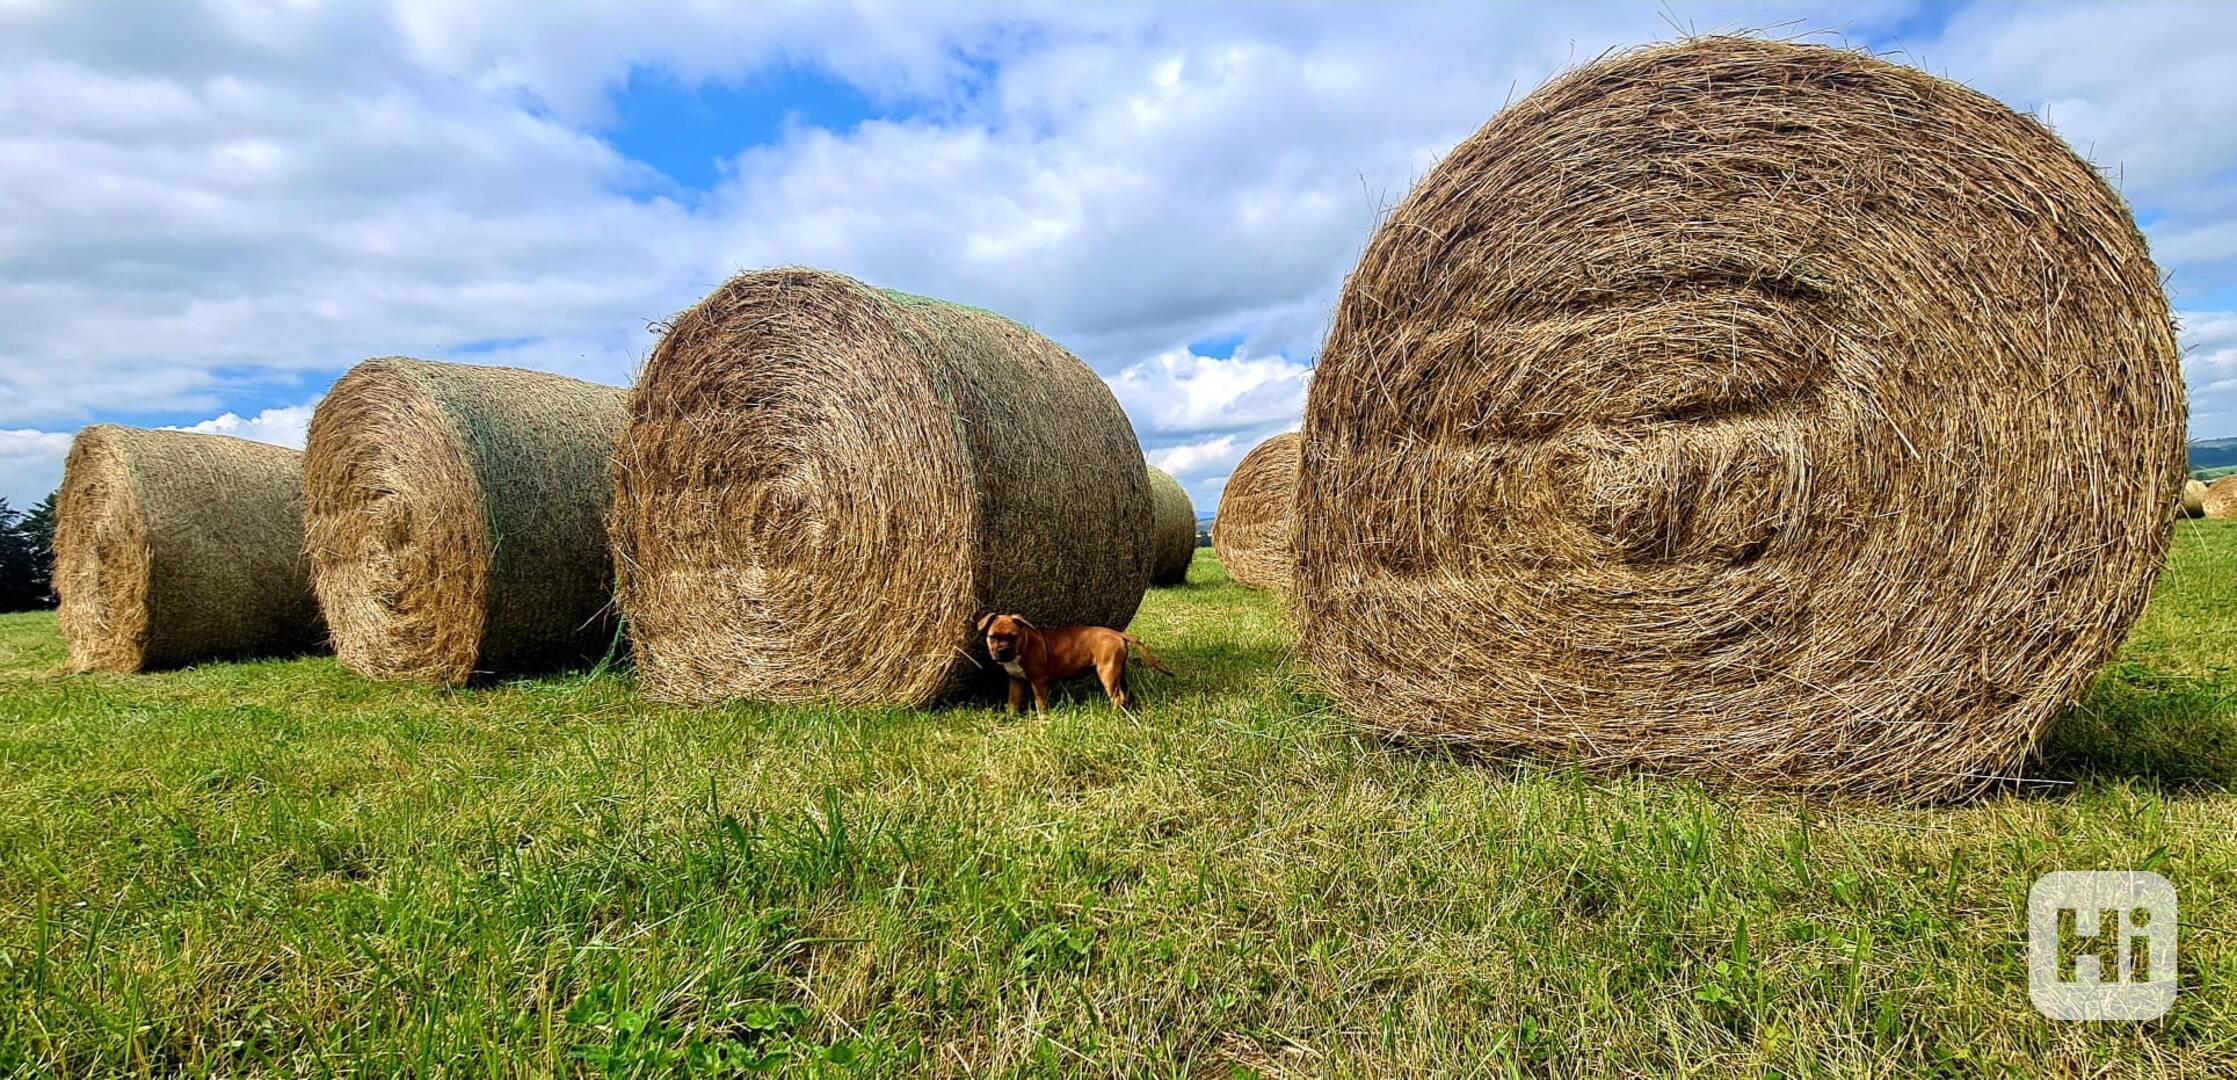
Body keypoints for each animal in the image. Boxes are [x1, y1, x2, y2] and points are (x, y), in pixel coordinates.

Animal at [988, 612, 1181, 715]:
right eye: (992, 637)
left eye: (1013, 637)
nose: (1002, 650)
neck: (1024, 645)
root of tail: (1118, 633)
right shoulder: (1015, 680)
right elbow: (1013, 701)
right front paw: (1010, 717)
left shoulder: (1039, 681)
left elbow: (1040, 703)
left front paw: (1043, 720)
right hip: (1119, 671)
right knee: (1126, 692)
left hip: (1107, 671)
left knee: (1117, 696)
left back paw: (1113, 715)